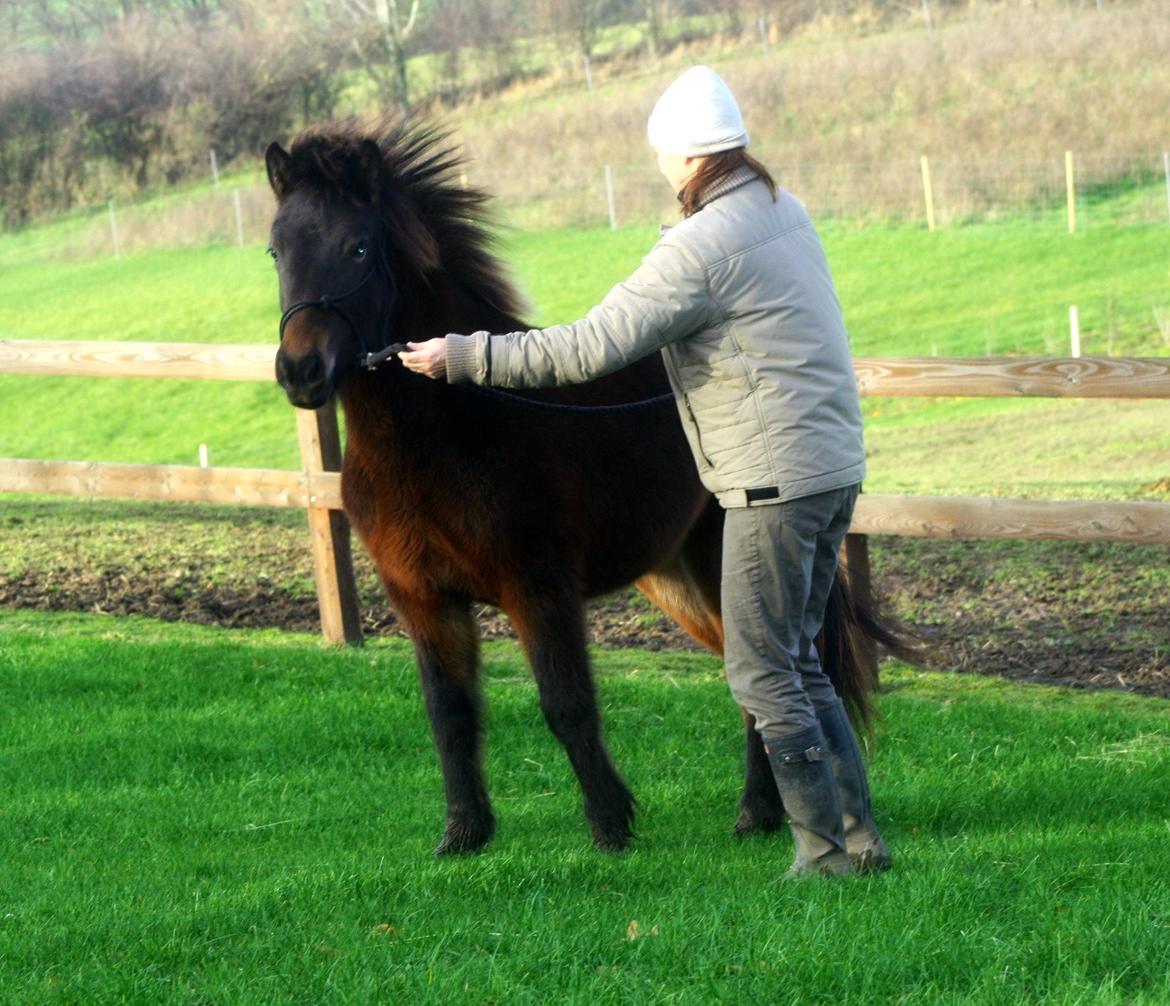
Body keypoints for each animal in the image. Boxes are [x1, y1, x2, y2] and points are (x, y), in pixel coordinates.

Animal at [267, 119, 903, 856]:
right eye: (277, 249)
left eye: (359, 246)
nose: (301, 371)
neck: (452, 432)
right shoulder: (422, 598)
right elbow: (451, 713)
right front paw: (464, 833)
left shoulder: (538, 587)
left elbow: (567, 705)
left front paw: (609, 825)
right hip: (674, 577)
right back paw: (768, 814)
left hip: (722, 563)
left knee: (772, 677)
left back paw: (760, 813)